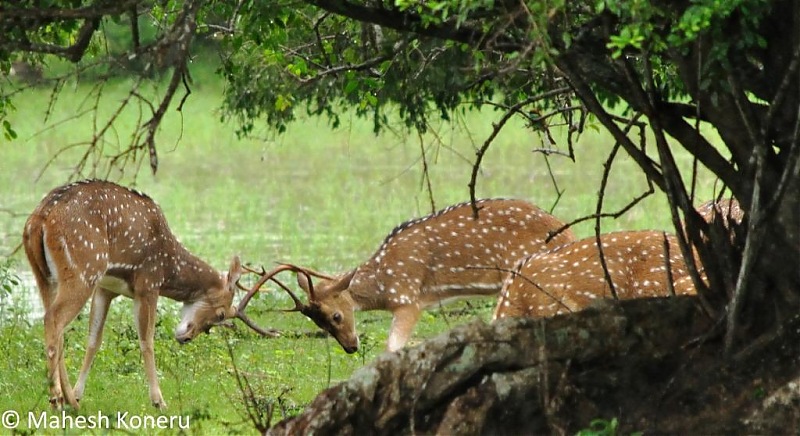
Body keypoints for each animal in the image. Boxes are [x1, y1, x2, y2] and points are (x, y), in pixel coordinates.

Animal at [21, 179, 260, 410]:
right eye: (220, 315)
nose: (186, 338)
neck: (169, 267)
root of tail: (39, 219)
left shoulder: (105, 289)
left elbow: (94, 340)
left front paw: (79, 394)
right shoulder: (148, 284)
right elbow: (147, 341)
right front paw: (159, 401)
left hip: (46, 277)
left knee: (55, 326)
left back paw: (69, 399)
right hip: (84, 269)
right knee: (53, 319)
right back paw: (57, 398)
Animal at [241, 199, 580, 352]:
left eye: (336, 315)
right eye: (317, 322)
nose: (351, 346)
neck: (384, 283)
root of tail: (569, 234)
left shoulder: (407, 298)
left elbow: (393, 347)